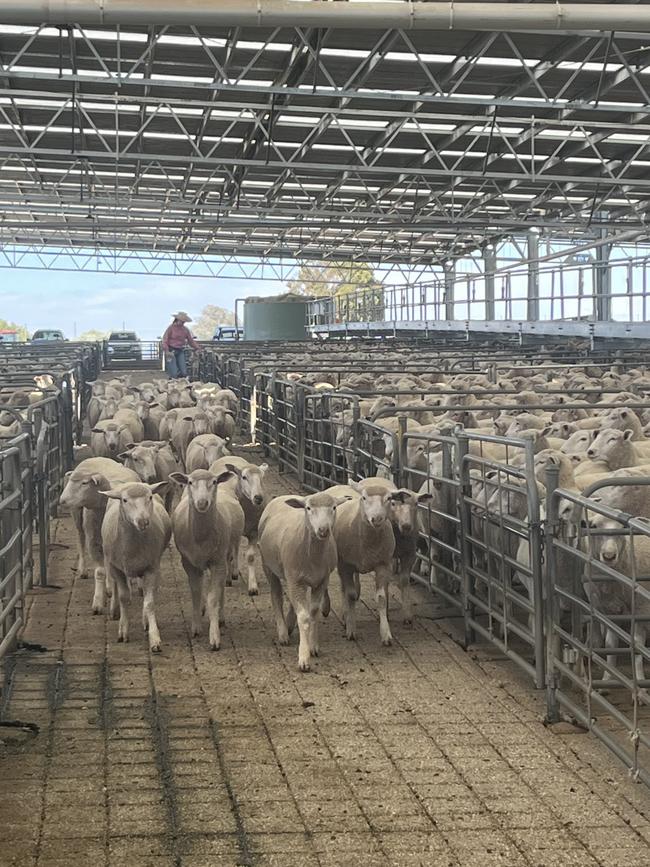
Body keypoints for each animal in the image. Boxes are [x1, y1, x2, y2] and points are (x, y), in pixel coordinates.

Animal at [98, 482, 170, 652]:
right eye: (124, 500)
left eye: (149, 497)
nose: (143, 521)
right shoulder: (116, 569)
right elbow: (124, 597)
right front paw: (123, 631)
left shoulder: (151, 568)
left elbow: (149, 602)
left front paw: (154, 638)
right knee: (117, 589)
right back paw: (115, 610)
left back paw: (145, 620)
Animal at [170, 472, 243, 648]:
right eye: (190, 482)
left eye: (214, 481)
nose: (202, 503)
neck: (201, 538)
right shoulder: (188, 563)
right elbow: (196, 592)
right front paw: (196, 628)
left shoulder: (217, 563)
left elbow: (213, 598)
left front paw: (214, 636)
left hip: (225, 555)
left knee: (221, 586)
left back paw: (220, 618)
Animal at [258, 496, 350, 672]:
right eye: (308, 508)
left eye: (334, 507)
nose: (323, 530)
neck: (314, 555)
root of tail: (281, 497)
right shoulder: (295, 580)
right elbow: (304, 617)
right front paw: (303, 658)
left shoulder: (321, 580)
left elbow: (313, 612)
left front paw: (313, 646)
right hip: (269, 567)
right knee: (277, 597)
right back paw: (283, 633)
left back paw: (289, 624)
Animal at [334, 482, 394, 644]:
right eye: (364, 498)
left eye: (389, 498)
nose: (377, 518)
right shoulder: (345, 565)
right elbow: (350, 595)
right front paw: (351, 630)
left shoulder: (383, 564)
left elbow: (381, 598)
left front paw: (386, 634)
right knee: (343, 589)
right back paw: (344, 615)